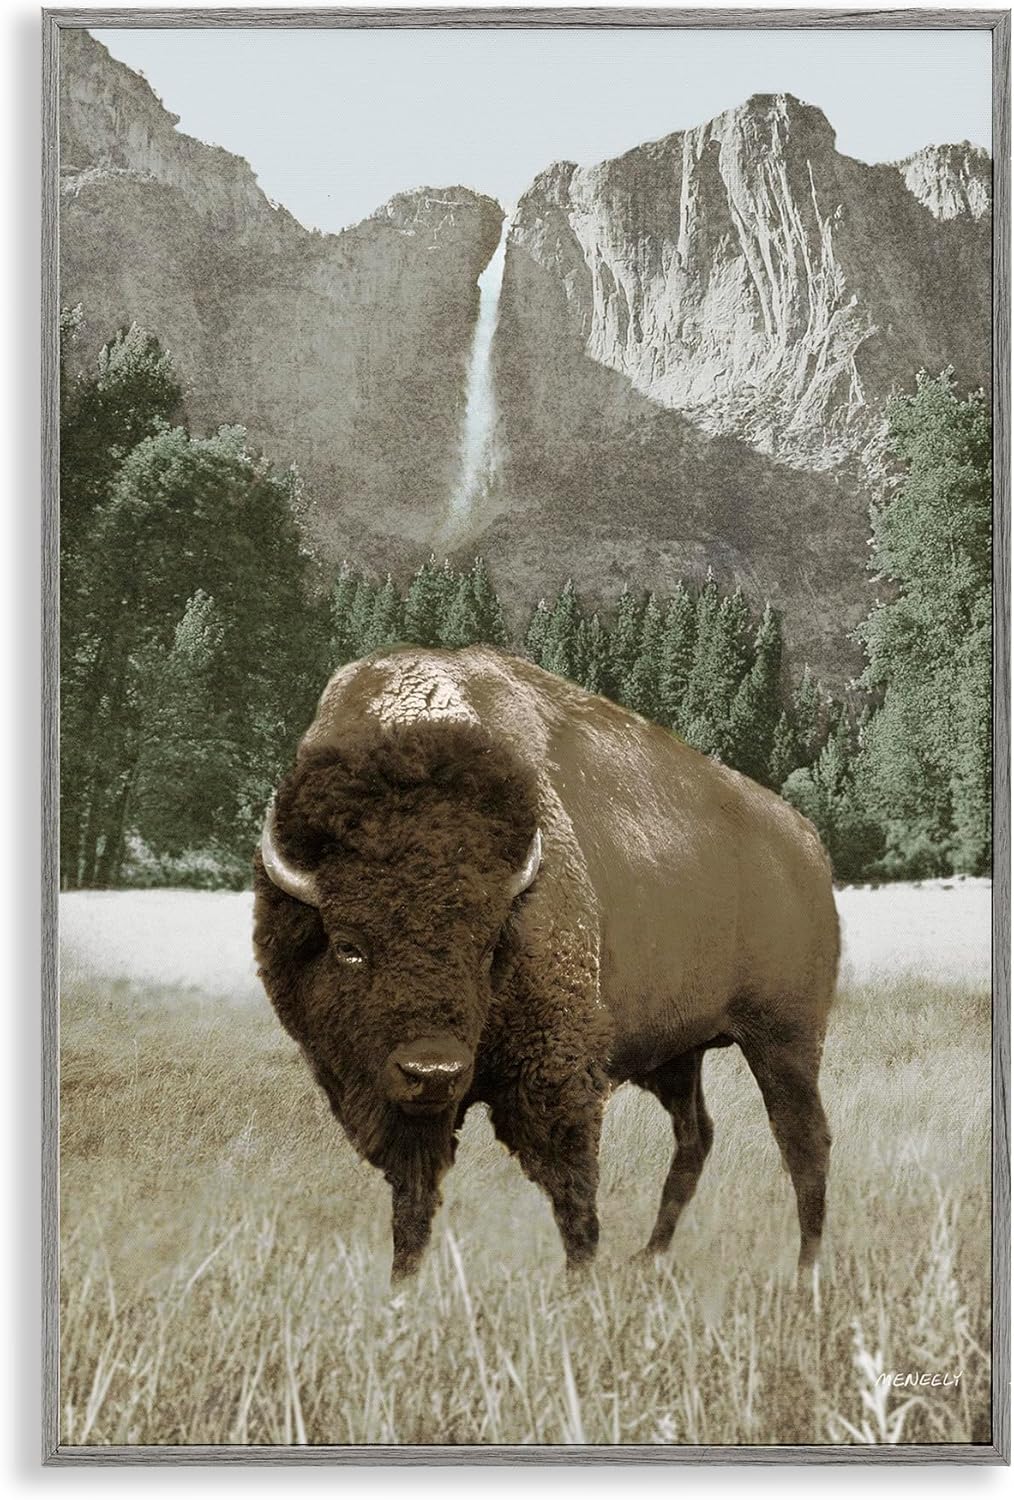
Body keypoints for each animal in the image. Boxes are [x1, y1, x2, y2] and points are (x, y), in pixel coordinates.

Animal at [253, 644, 838, 1282]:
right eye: (349, 946)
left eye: (488, 943)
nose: (433, 1071)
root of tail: (807, 844)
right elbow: (413, 1197)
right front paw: (403, 1282)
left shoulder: (558, 1072)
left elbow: (571, 1189)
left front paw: (579, 1281)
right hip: (680, 1054)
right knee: (696, 1136)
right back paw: (651, 1254)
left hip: (784, 1039)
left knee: (804, 1141)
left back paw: (806, 1270)